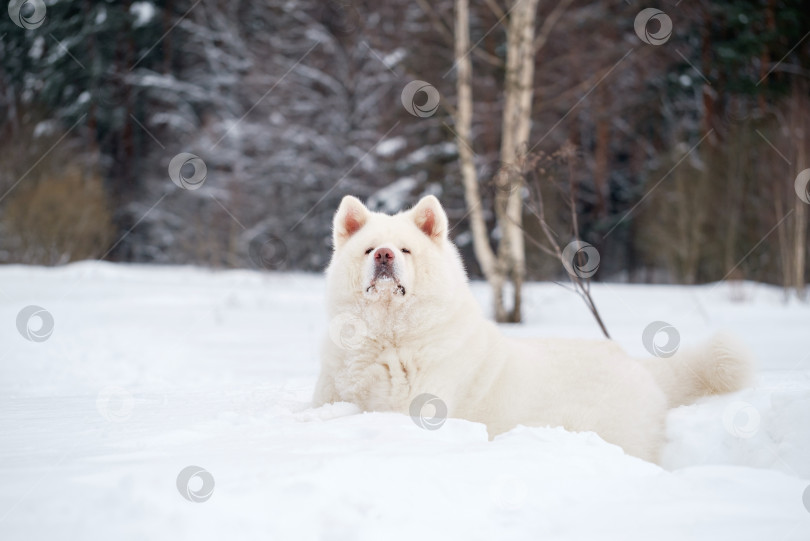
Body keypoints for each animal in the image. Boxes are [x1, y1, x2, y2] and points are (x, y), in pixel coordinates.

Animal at [312, 194, 756, 460]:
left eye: (405, 250)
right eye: (369, 250)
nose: (385, 256)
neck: (389, 336)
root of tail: (640, 366)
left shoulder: (410, 412)